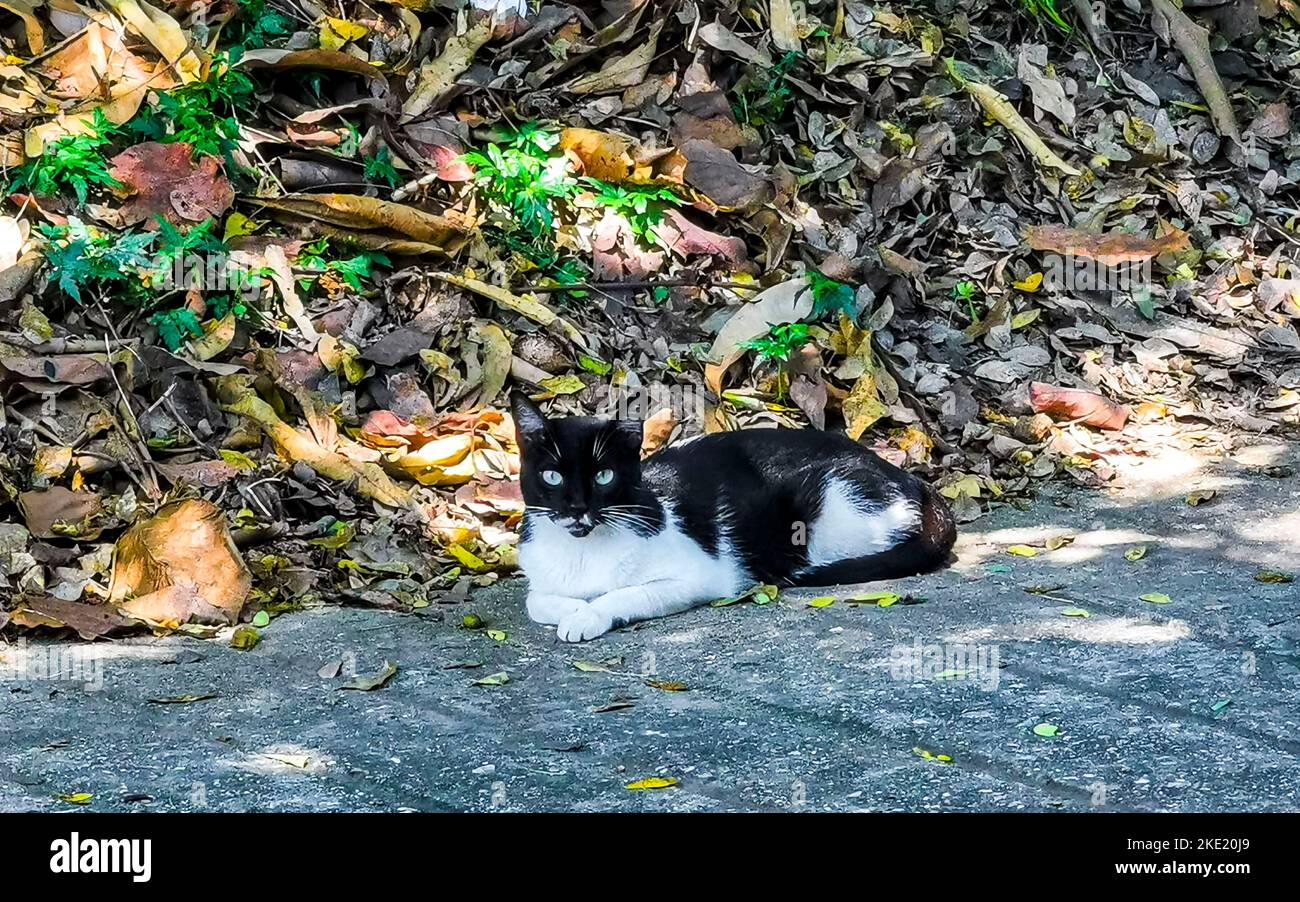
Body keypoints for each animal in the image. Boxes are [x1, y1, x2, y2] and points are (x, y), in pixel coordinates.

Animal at [512, 395, 961, 642]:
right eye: (552, 476)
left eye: (604, 476)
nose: (576, 508)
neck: (582, 552)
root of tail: (912, 479)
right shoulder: (541, 580)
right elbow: (538, 600)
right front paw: (574, 608)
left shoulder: (699, 576)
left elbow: (623, 594)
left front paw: (587, 614)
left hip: (825, 511)